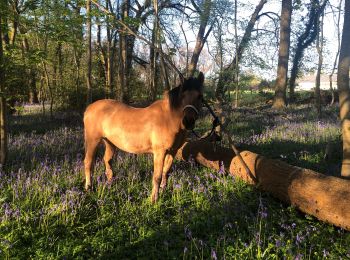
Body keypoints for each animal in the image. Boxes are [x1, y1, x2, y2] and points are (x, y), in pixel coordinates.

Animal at [83, 72, 204, 202]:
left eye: (200, 96)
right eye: (183, 95)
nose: (188, 121)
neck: (169, 119)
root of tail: (89, 108)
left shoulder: (172, 151)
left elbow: (166, 172)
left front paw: (163, 191)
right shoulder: (159, 152)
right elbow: (157, 176)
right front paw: (154, 199)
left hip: (110, 143)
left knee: (107, 160)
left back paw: (111, 183)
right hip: (93, 141)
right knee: (88, 162)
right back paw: (89, 187)